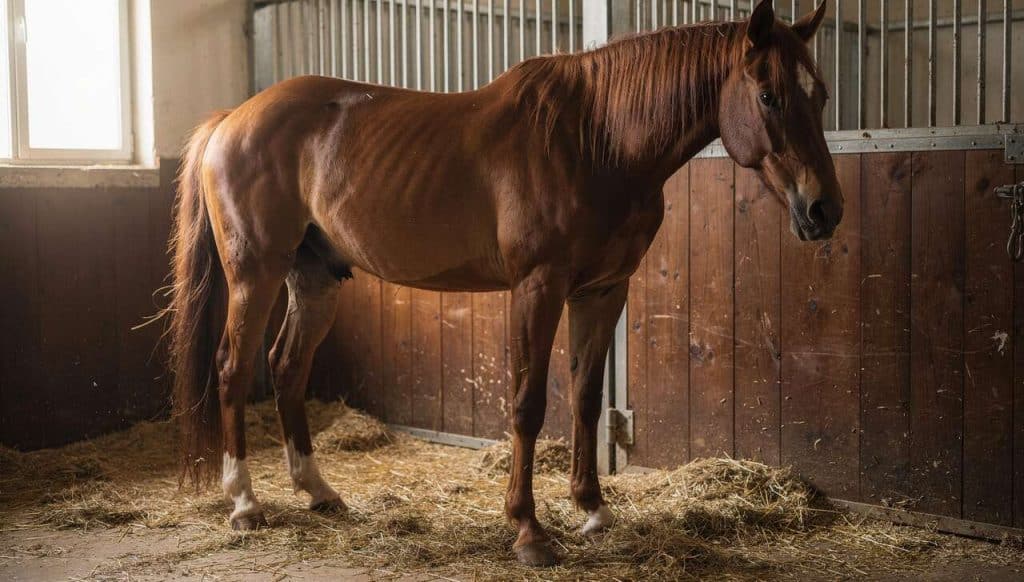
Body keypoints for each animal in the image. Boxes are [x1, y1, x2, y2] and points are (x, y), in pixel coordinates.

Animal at [165, 0, 838, 566]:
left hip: (315, 279)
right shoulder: (538, 287)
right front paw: (529, 531)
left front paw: (594, 512)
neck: (597, 140)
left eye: (822, 94)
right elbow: (527, 404)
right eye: (769, 94)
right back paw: (245, 503)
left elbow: (585, 399)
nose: (824, 210)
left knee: (286, 367)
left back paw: (317, 490)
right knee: (233, 367)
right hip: (255, 273)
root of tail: (232, 119)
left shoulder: (603, 291)